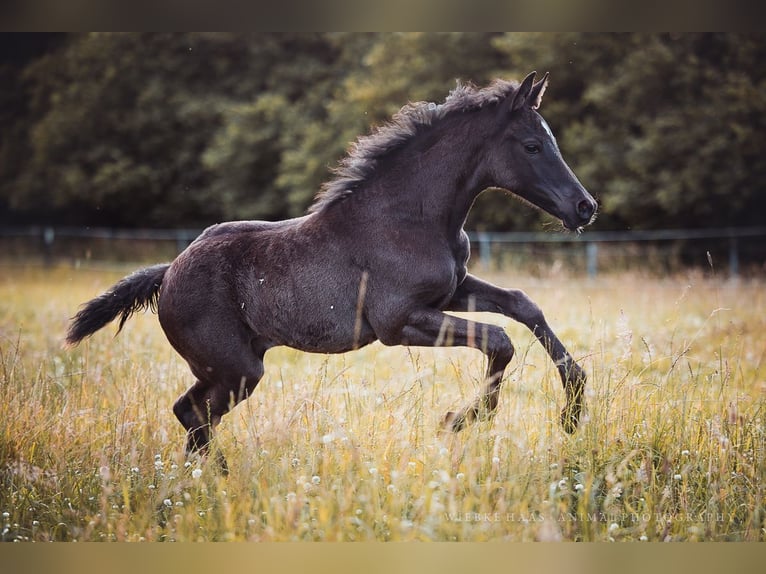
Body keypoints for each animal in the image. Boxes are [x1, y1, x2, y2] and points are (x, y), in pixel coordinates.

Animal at [66, 72, 597, 471]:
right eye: (531, 146)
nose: (585, 207)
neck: (409, 217)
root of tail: (169, 271)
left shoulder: (451, 291)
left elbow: (523, 305)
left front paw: (573, 406)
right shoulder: (398, 323)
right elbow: (499, 340)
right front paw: (460, 419)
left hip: (230, 368)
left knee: (189, 413)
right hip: (236, 369)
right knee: (195, 416)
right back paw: (218, 481)